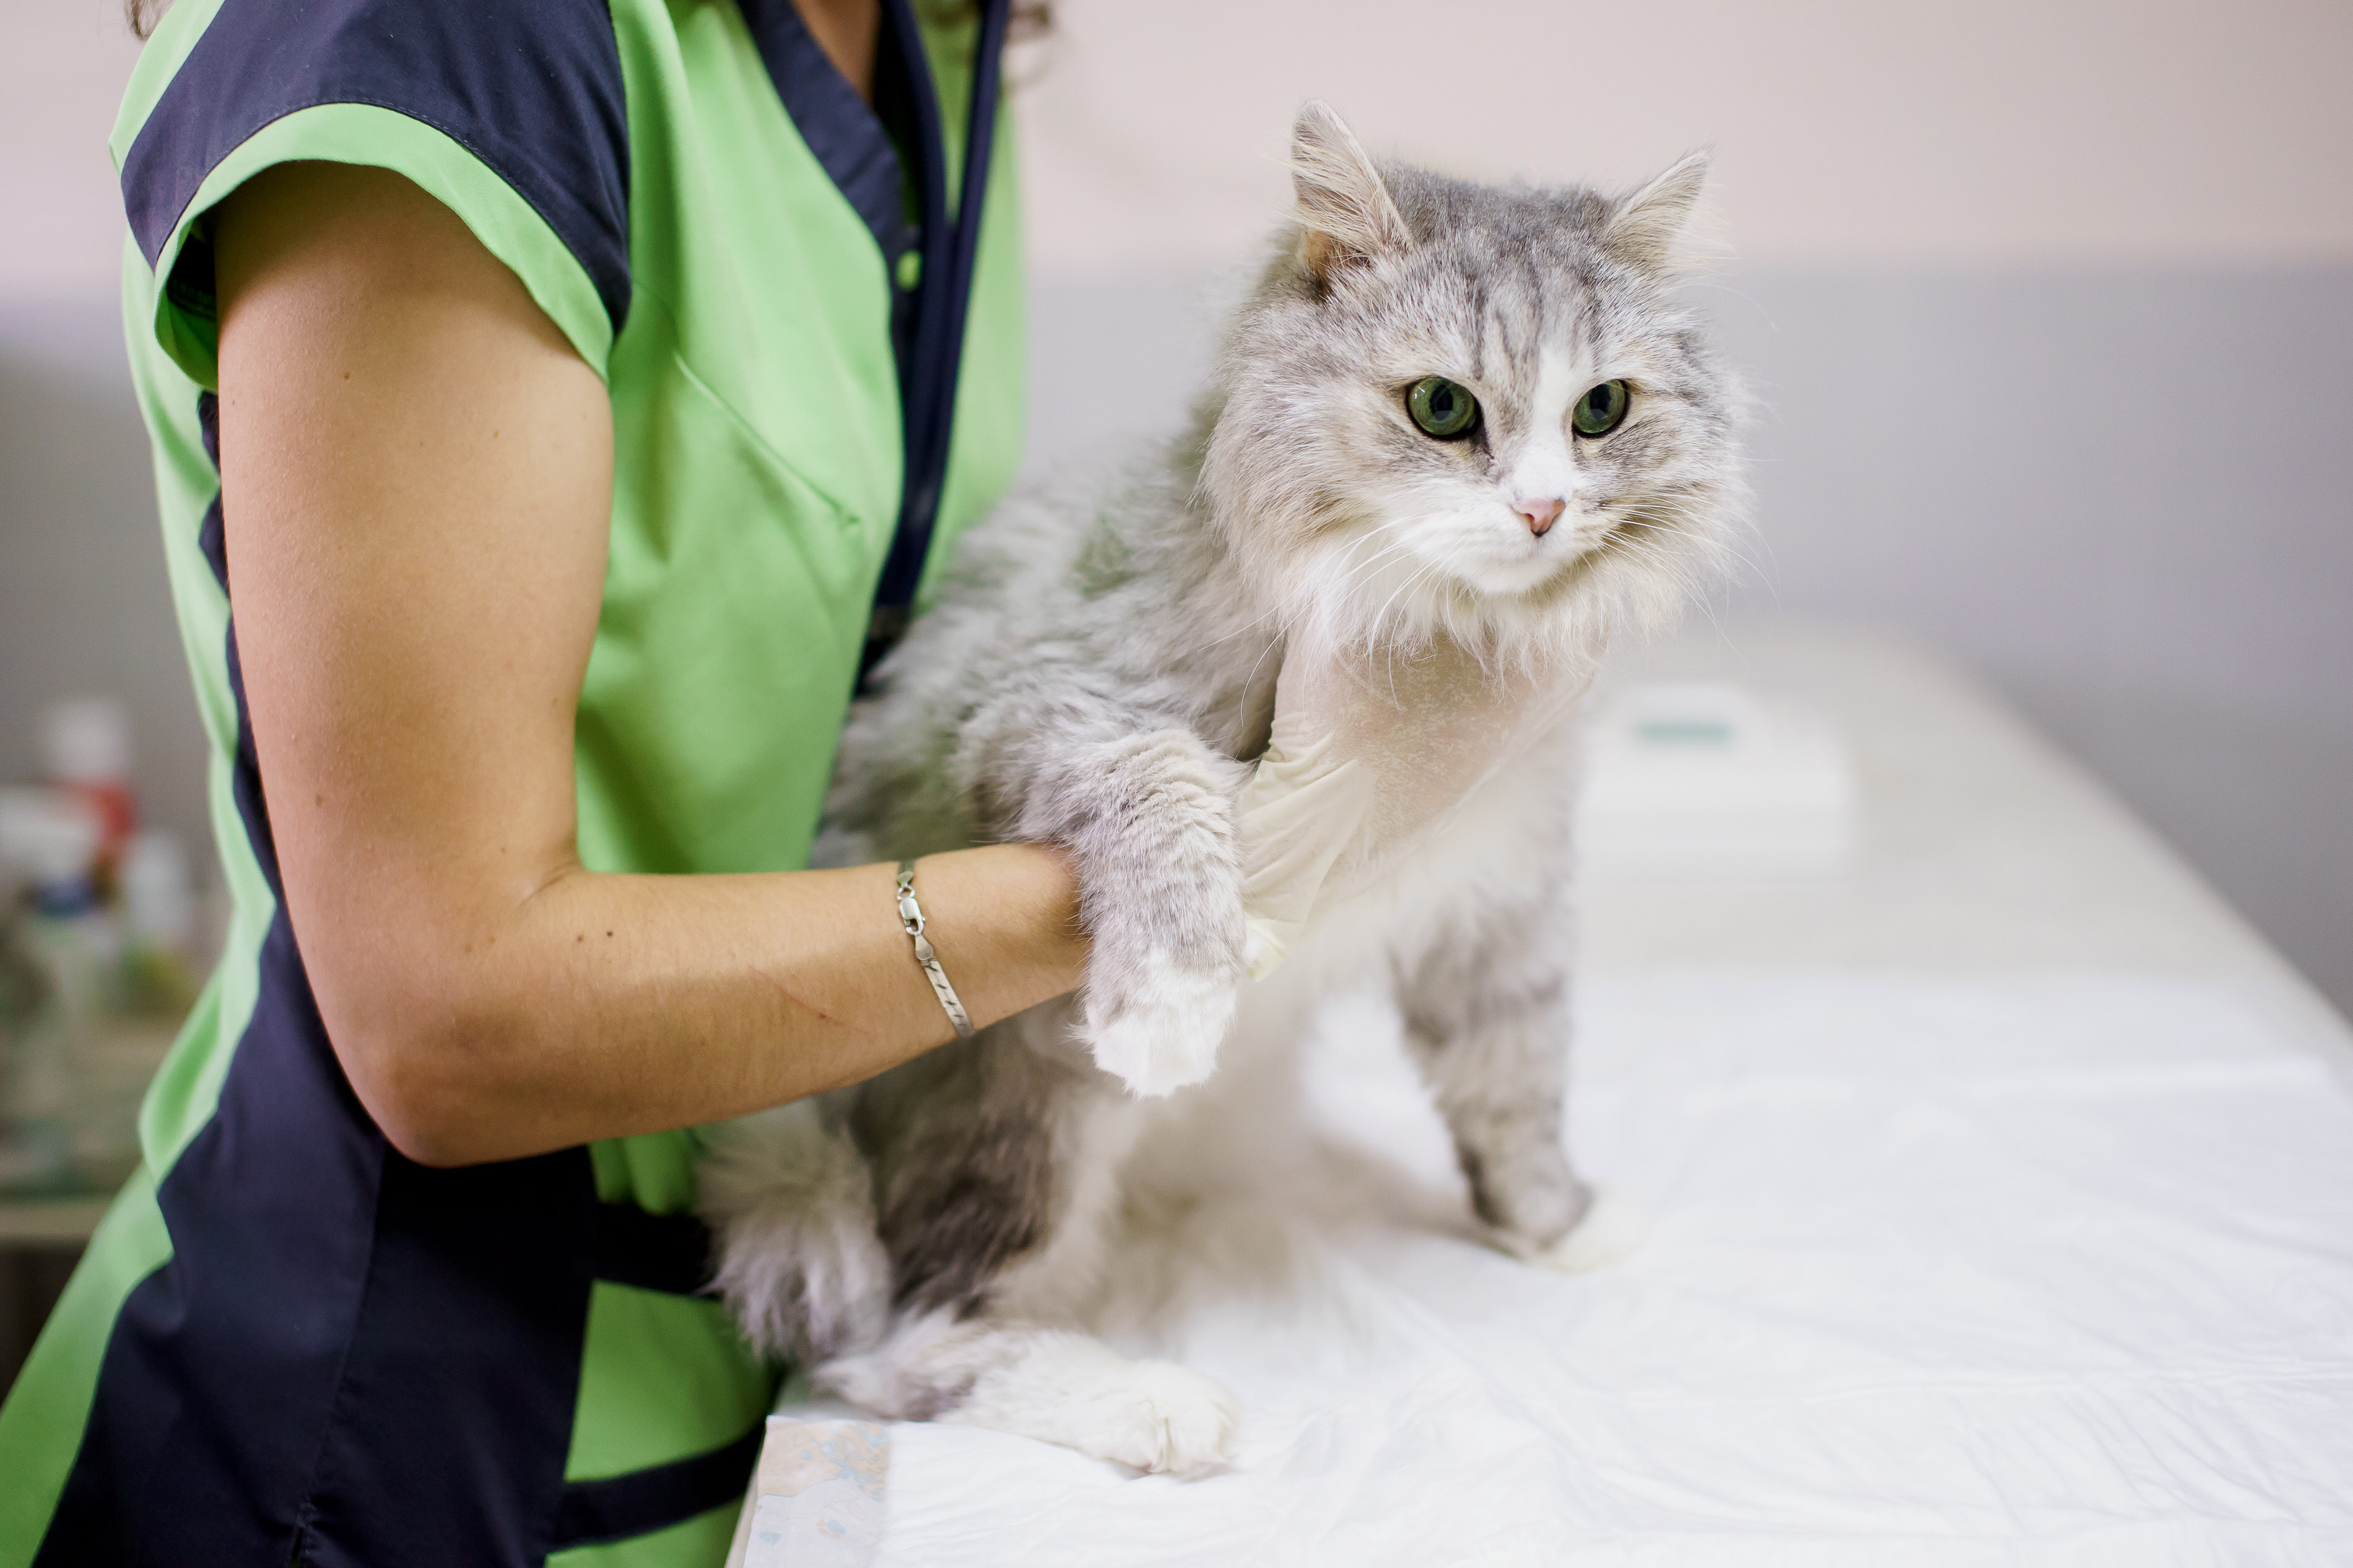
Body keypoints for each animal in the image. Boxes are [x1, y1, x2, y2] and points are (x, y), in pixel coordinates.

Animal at [697, 101, 1743, 1475]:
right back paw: (1140, 1399)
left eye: (1603, 409)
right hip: (1021, 1117)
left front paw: (1557, 1223)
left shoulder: (1502, 907)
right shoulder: (1044, 706)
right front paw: (1173, 998)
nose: (1539, 511)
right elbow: (1171, 790)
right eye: (1443, 407)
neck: (1444, 639)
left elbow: (1513, 1086)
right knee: (895, 1340)